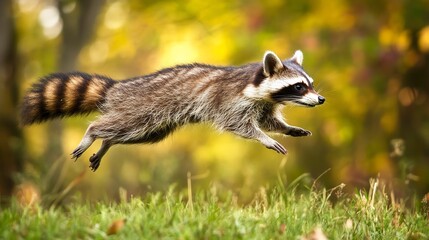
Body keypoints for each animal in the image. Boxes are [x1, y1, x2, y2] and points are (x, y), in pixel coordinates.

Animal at [20, 50, 324, 171]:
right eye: (299, 87)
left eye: (310, 83)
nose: (321, 99)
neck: (255, 83)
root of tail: (118, 87)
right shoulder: (229, 100)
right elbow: (239, 124)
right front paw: (265, 138)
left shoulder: (263, 104)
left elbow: (270, 121)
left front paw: (286, 128)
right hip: (141, 107)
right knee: (115, 124)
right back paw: (94, 133)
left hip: (155, 124)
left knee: (134, 135)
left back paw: (107, 143)